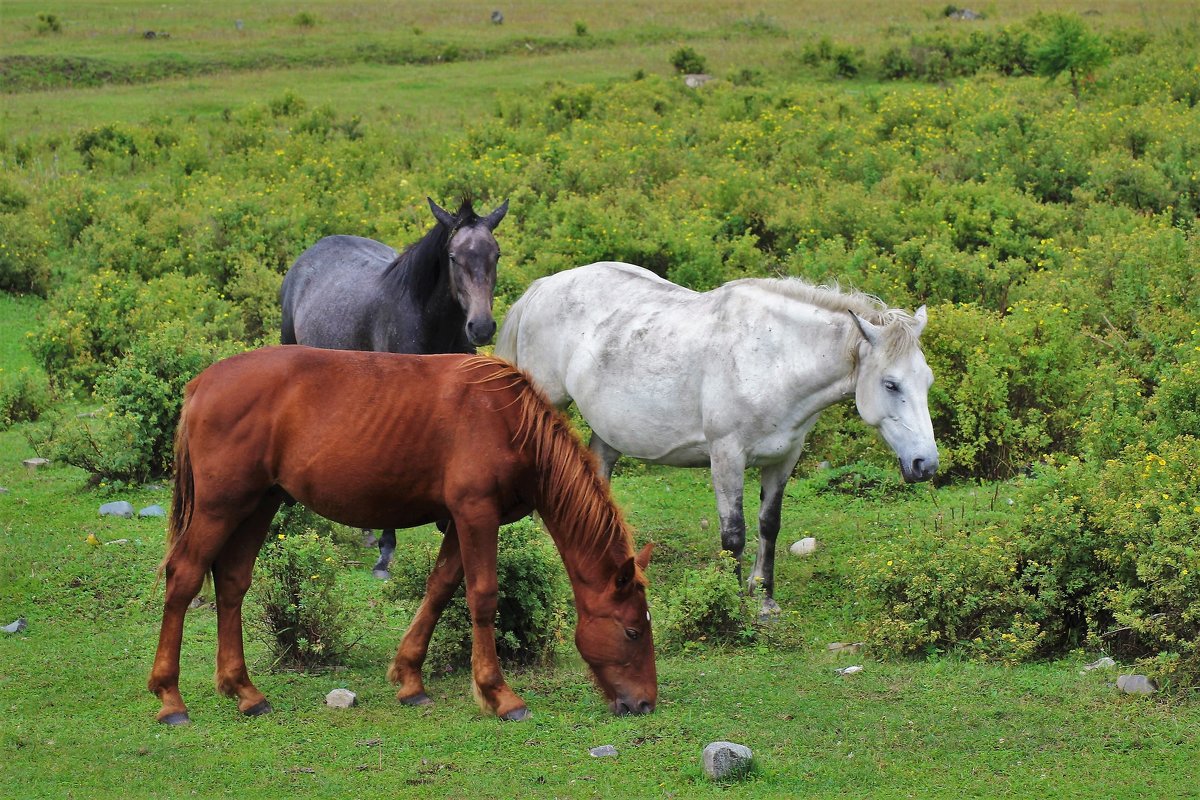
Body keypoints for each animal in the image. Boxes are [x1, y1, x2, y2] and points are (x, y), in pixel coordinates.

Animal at [151, 347, 662, 724]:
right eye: (633, 631)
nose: (645, 703)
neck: (509, 423)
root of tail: (201, 384)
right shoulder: (476, 513)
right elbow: (483, 596)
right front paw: (499, 694)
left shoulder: (461, 519)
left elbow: (440, 588)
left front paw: (410, 678)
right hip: (221, 507)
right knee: (184, 576)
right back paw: (171, 698)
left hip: (260, 503)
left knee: (232, 581)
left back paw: (244, 691)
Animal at [494, 262, 936, 614]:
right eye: (891, 384)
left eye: (927, 381)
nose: (926, 464)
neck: (774, 358)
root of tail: (543, 287)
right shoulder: (726, 456)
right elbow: (733, 532)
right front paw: (733, 602)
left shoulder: (784, 458)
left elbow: (769, 524)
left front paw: (765, 598)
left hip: (608, 431)